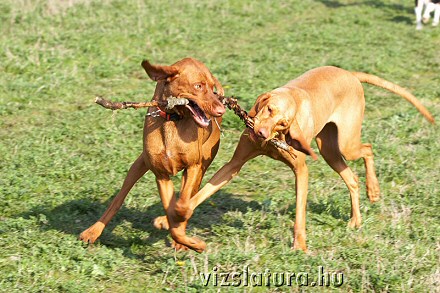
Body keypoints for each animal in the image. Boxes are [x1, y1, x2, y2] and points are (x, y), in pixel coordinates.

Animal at [79, 57, 229, 251]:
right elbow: (172, 213)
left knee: (190, 197)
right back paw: (92, 231)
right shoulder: (161, 176)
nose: (221, 110)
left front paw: (188, 239)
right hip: (138, 165)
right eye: (198, 86)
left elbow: (182, 206)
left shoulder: (193, 167)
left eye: (212, 87)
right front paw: (186, 237)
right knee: (118, 200)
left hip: (201, 167)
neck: (173, 119)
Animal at [172, 65, 434, 251]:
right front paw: (174, 217)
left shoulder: (302, 171)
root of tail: (349, 73)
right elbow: (200, 195)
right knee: (352, 178)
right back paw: (356, 220)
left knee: (368, 149)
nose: (261, 133)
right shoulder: (234, 164)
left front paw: (300, 246)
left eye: (283, 123)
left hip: (346, 144)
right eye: (269, 109)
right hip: (330, 151)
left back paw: (374, 191)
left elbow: (299, 213)